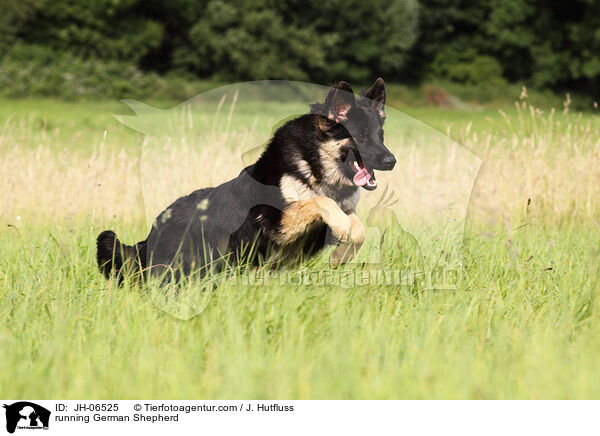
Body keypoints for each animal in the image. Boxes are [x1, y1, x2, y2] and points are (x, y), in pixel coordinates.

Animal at [97, 78, 398, 282]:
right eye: (360, 137)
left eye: (380, 135)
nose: (391, 161)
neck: (314, 165)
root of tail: (152, 231)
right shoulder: (279, 221)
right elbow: (320, 202)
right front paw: (341, 230)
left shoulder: (344, 210)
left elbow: (358, 229)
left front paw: (340, 256)